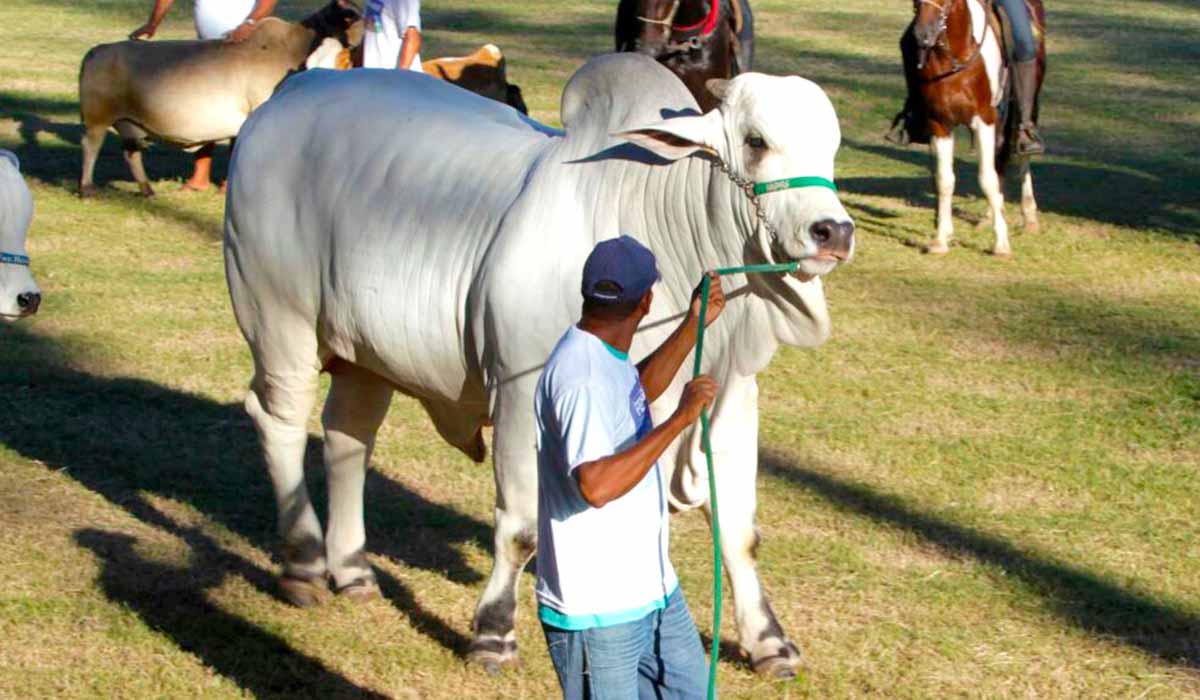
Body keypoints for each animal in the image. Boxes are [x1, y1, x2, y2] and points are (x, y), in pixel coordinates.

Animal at [225, 54, 854, 677]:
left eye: (832, 145)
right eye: (755, 141)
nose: (834, 231)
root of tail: (294, 90)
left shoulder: (731, 400)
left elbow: (738, 531)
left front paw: (769, 641)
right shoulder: (522, 397)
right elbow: (521, 530)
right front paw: (493, 632)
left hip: (365, 354)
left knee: (348, 436)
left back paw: (353, 569)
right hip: (280, 321)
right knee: (279, 420)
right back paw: (304, 563)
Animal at [902, 0, 1041, 255]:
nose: (923, 35)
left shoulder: (984, 120)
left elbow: (987, 178)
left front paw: (1001, 243)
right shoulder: (940, 123)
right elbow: (945, 180)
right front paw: (940, 239)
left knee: (1019, 154)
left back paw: (1028, 215)